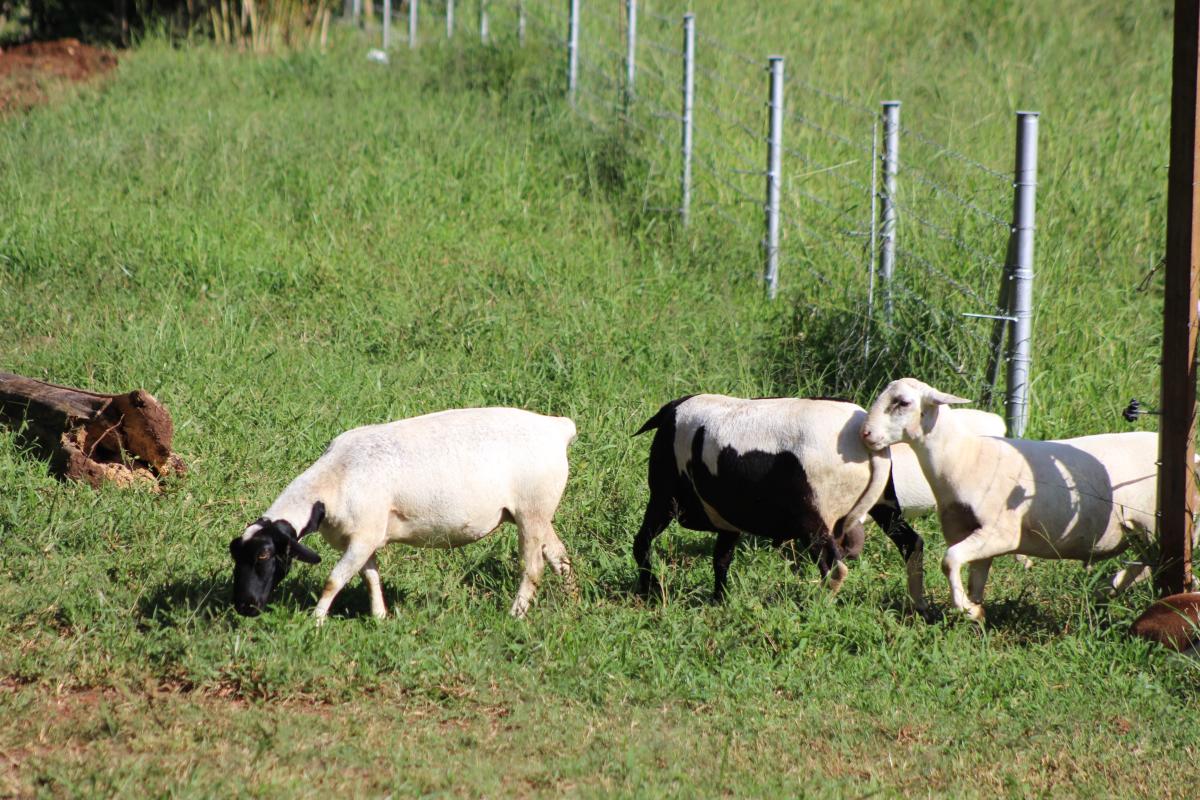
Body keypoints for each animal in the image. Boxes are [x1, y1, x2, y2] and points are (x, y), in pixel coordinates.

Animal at [231, 410, 578, 623]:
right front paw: (379, 618)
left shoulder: (363, 538)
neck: (333, 479)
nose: (244, 606)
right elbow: (371, 577)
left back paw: (516, 614)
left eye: (264, 555)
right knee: (560, 557)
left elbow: (333, 581)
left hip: (531, 511)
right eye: (235, 554)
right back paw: (572, 601)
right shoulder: (364, 540)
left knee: (533, 568)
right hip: (535, 514)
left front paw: (315, 621)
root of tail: (557, 428)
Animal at [864, 379, 1161, 623]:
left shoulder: (1002, 533)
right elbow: (974, 579)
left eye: (902, 402)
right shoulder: (973, 533)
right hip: (1136, 531)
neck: (965, 457)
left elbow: (949, 560)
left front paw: (965, 608)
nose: (865, 433)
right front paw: (975, 613)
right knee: (1146, 565)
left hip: (1153, 527)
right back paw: (1107, 589)